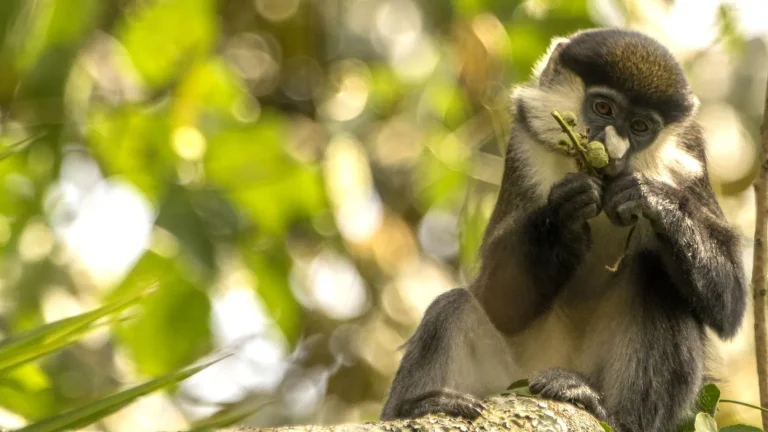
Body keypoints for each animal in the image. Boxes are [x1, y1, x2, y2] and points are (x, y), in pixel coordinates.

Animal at [380, 28, 747, 432]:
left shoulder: (692, 157)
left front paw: (652, 199)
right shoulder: (522, 145)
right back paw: (420, 406)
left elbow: (730, 302)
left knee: (660, 280)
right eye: (603, 108)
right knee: (452, 308)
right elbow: (497, 299)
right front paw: (564, 213)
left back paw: (607, 410)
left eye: (640, 127)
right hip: (509, 380)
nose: (612, 147)